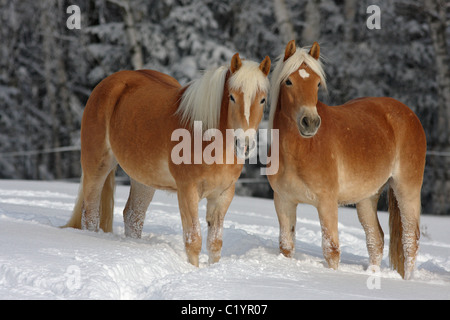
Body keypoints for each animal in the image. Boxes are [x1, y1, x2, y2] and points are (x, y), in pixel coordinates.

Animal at [63, 53, 272, 266]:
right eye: (232, 97)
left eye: (263, 100)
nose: (243, 143)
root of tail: (109, 83)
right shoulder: (187, 191)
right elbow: (193, 240)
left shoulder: (223, 195)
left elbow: (215, 243)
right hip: (97, 165)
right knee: (90, 214)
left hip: (144, 179)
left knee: (132, 216)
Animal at [268, 40, 428, 280]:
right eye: (288, 81)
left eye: (317, 84)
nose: (310, 122)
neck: (300, 150)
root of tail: (409, 114)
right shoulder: (284, 201)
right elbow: (286, 246)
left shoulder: (326, 202)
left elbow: (331, 249)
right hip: (367, 197)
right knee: (376, 240)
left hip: (406, 189)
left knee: (410, 240)